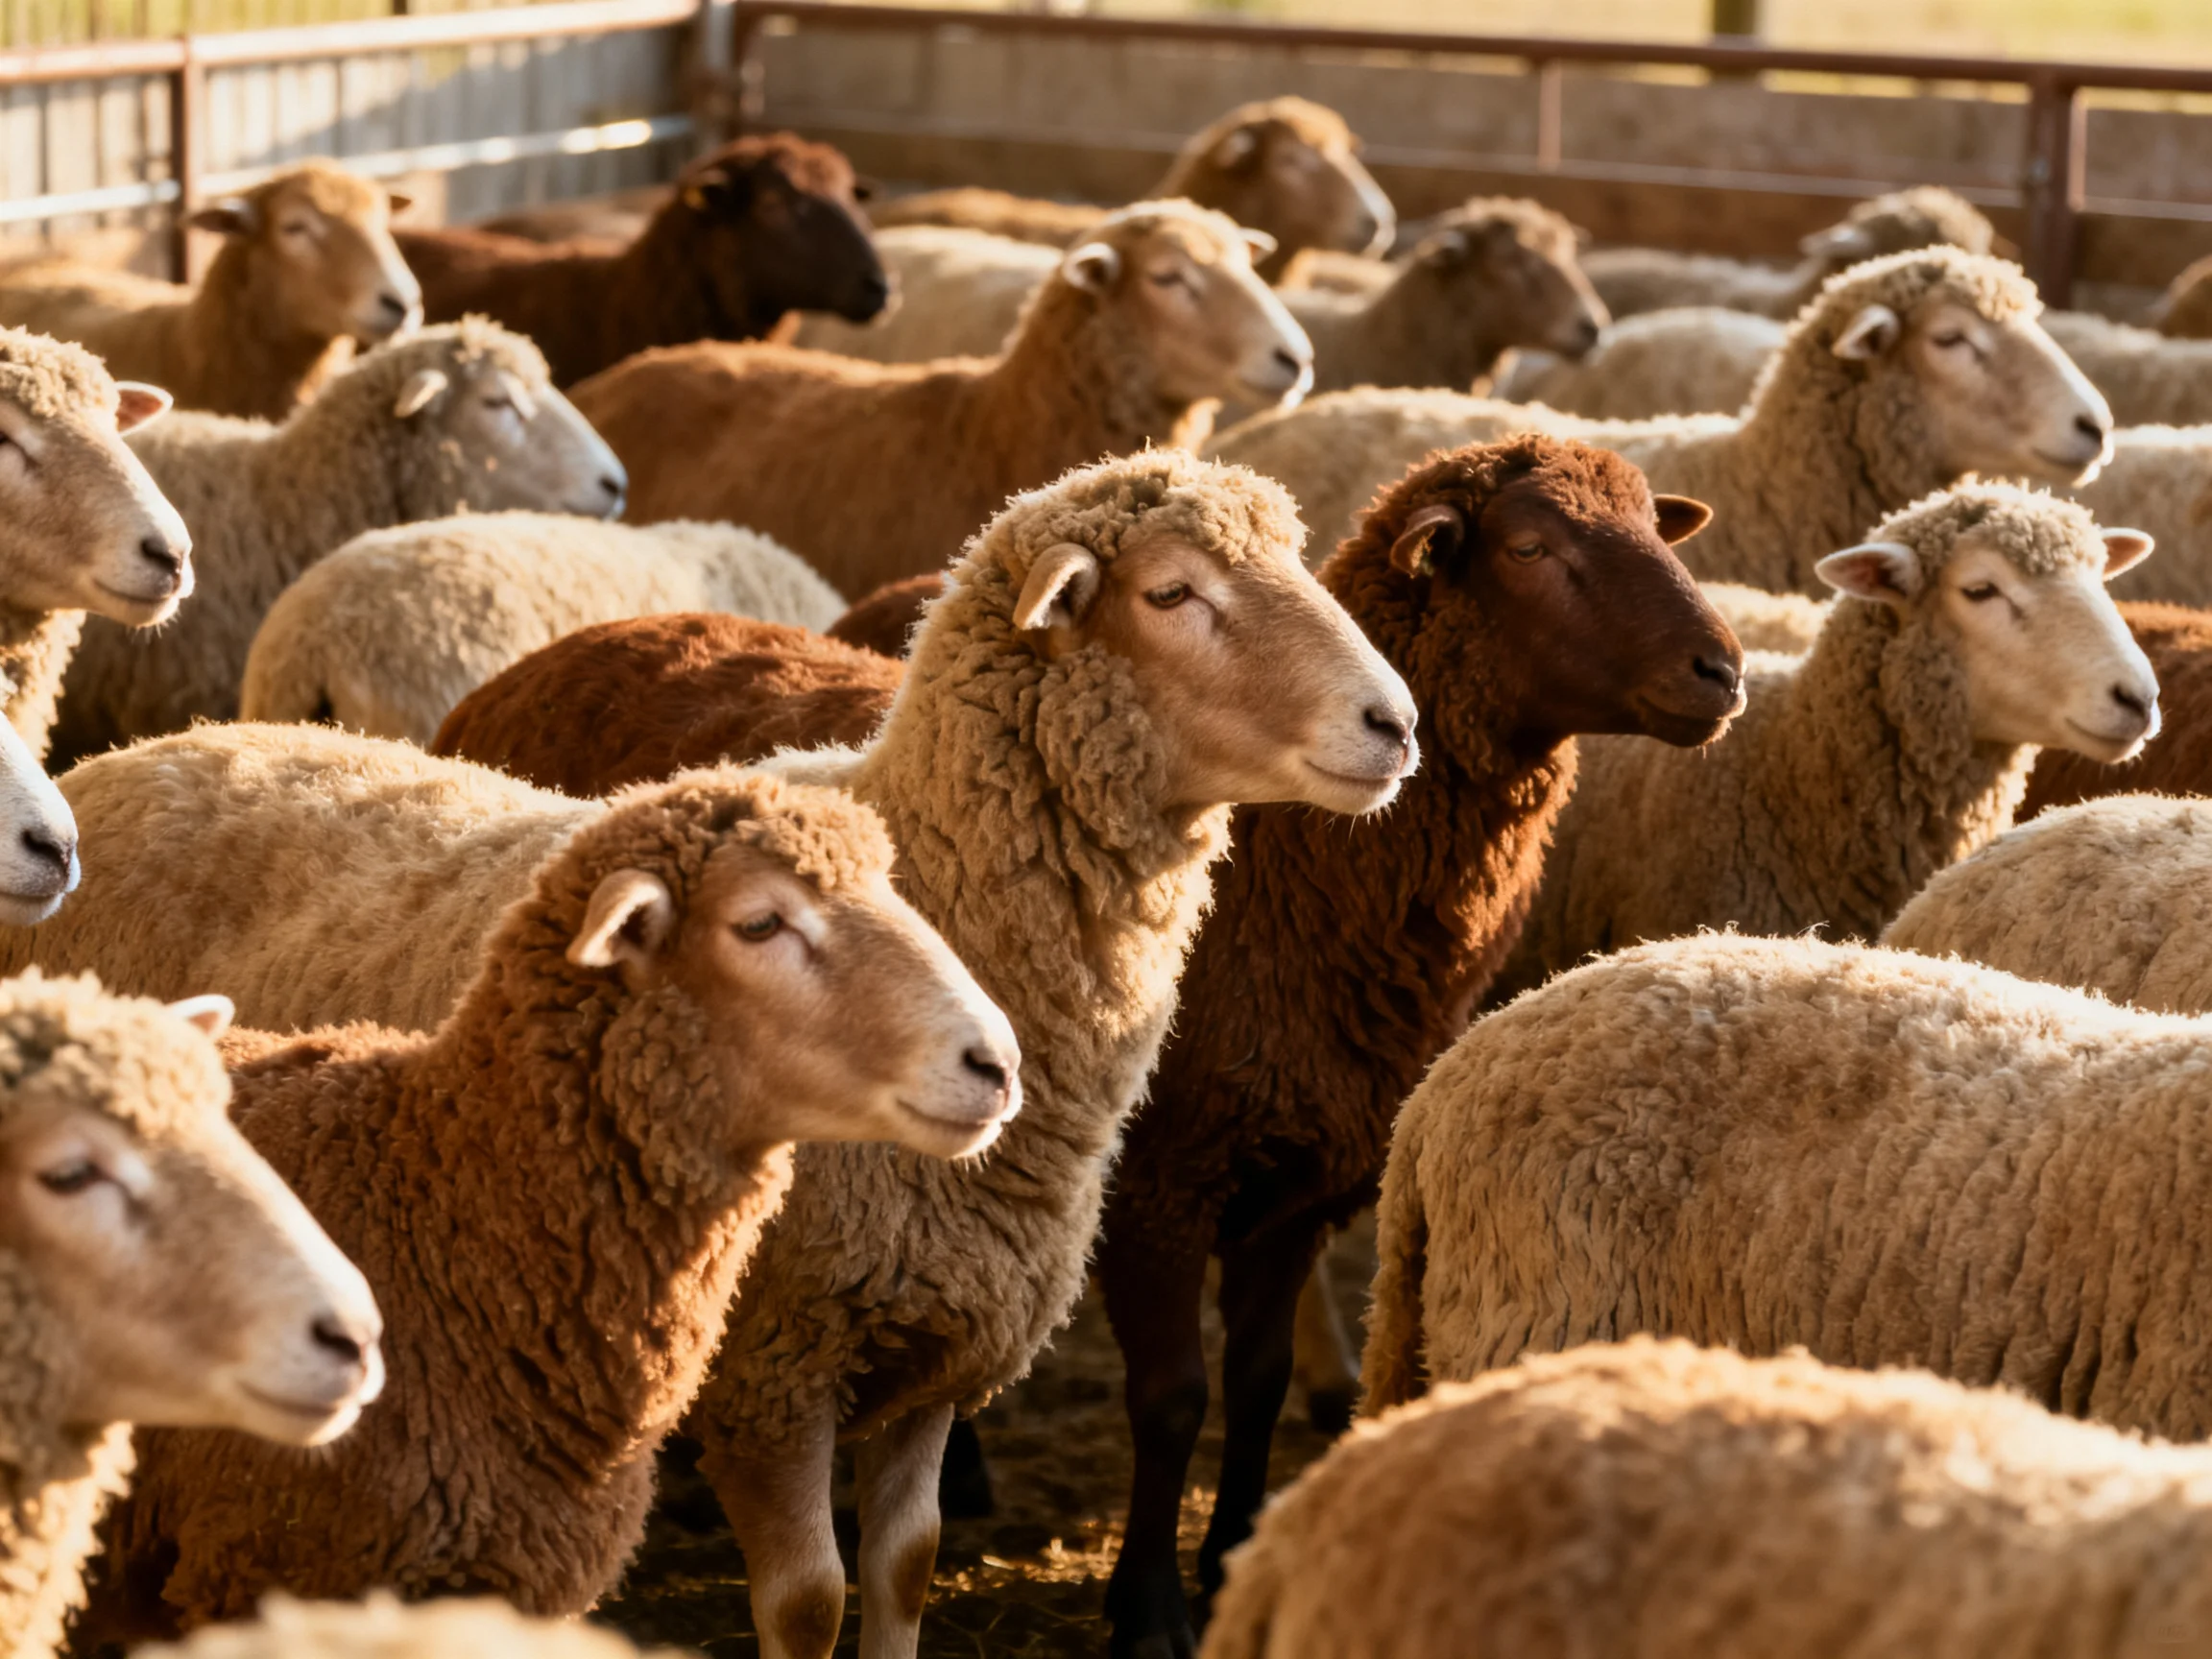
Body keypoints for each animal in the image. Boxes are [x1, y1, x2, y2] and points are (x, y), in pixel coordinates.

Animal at [1091, 436, 1746, 1659]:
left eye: (1653, 523)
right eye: (1530, 547)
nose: (1722, 671)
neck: (1288, 867)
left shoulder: (1300, 1177)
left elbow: (1253, 1380)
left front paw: (1234, 1554)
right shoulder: (1156, 1180)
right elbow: (1171, 1398)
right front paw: (1148, 1610)